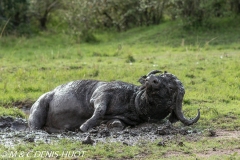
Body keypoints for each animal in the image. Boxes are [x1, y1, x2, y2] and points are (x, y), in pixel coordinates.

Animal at [28, 70, 201, 132]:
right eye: (160, 76)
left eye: (171, 87)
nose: (152, 79)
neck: (133, 103)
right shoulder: (100, 95)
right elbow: (99, 111)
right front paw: (84, 126)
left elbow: (116, 122)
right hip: (40, 107)